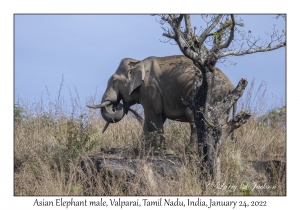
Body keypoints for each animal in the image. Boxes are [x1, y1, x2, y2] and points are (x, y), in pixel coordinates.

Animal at [88, 55, 236, 152]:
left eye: (113, 81)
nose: (117, 104)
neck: (138, 62)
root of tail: (231, 85)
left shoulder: (150, 88)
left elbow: (153, 114)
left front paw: (155, 150)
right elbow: (159, 117)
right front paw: (144, 148)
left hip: (208, 96)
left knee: (194, 117)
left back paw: (191, 151)